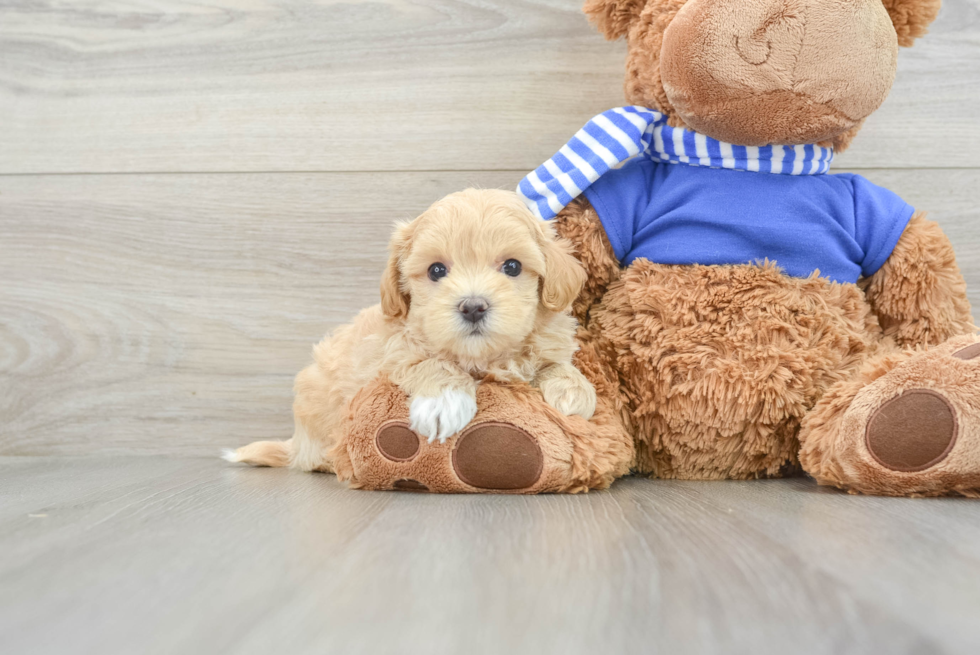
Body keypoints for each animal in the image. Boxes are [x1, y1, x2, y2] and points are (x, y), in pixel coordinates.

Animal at [228, 188, 596, 472]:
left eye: (513, 266)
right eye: (436, 270)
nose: (473, 306)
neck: (482, 358)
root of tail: (297, 443)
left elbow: (556, 363)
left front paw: (574, 392)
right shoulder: (389, 353)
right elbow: (428, 363)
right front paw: (444, 402)